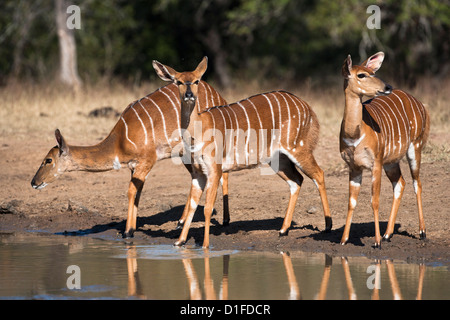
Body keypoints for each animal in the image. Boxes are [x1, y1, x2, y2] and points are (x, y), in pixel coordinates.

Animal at [29, 82, 230, 238]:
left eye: (47, 160)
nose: (33, 182)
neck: (120, 140)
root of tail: (219, 96)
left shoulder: (147, 161)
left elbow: (131, 191)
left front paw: (127, 232)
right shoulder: (134, 167)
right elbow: (137, 191)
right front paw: (131, 228)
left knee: (222, 174)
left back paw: (226, 220)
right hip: (186, 154)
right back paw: (181, 221)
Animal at [153, 57, 332, 248]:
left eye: (196, 81)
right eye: (178, 81)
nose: (188, 95)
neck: (199, 128)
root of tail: (308, 108)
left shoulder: (215, 169)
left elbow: (207, 208)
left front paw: (205, 245)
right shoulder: (198, 173)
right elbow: (193, 206)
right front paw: (179, 242)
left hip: (299, 149)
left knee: (318, 174)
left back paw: (328, 226)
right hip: (278, 159)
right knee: (297, 180)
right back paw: (283, 230)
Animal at [340, 52, 430, 248]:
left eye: (372, 72)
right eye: (361, 75)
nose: (387, 87)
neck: (354, 134)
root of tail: (419, 104)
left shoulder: (376, 163)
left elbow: (374, 201)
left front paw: (377, 242)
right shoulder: (354, 167)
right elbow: (351, 202)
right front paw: (343, 240)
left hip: (414, 147)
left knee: (417, 183)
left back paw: (422, 233)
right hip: (391, 162)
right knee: (400, 183)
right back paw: (388, 234)